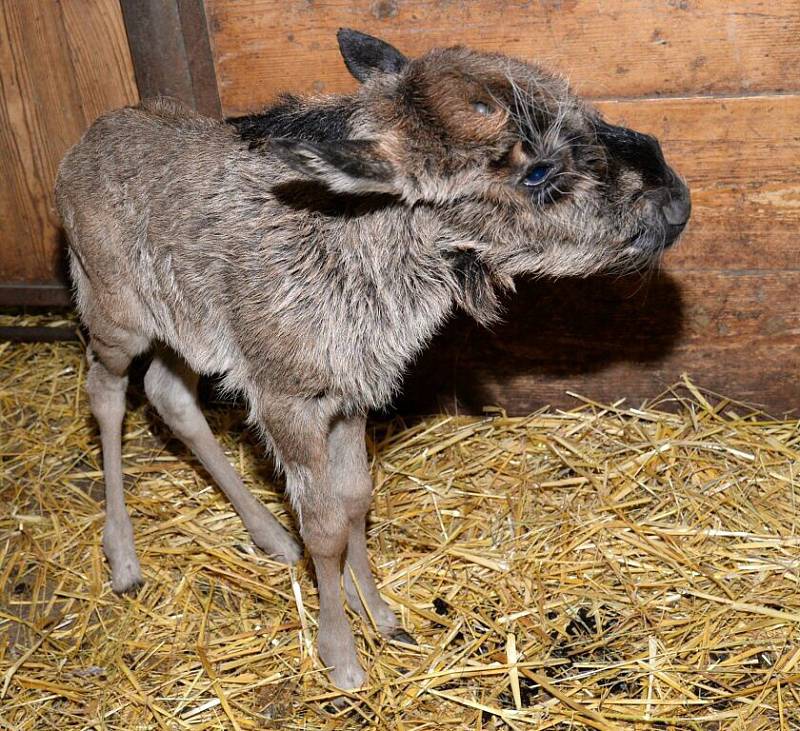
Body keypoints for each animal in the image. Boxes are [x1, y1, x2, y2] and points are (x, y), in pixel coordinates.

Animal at [54, 30, 688, 692]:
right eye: (536, 171)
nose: (676, 200)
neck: (365, 259)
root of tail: (77, 149)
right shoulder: (287, 400)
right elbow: (324, 524)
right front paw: (340, 653)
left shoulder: (351, 391)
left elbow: (356, 499)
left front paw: (377, 612)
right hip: (113, 311)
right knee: (105, 392)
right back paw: (124, 557)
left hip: (186, 329)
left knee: (169, 394)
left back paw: (269, 536)